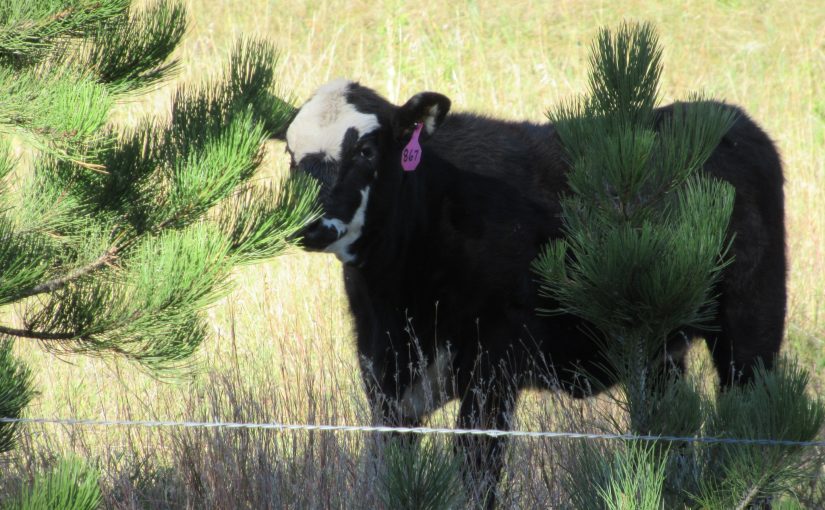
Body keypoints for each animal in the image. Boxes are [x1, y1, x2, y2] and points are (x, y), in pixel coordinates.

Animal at [274, 79, 784, 502]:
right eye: (291, 155)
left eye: (365, 149)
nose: (307, 224)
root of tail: (727, 116)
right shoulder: (384, 381)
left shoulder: (495, 368)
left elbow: (478, 469)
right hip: (659, 351)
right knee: (665, 434)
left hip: (751, 329)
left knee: (752, 428)